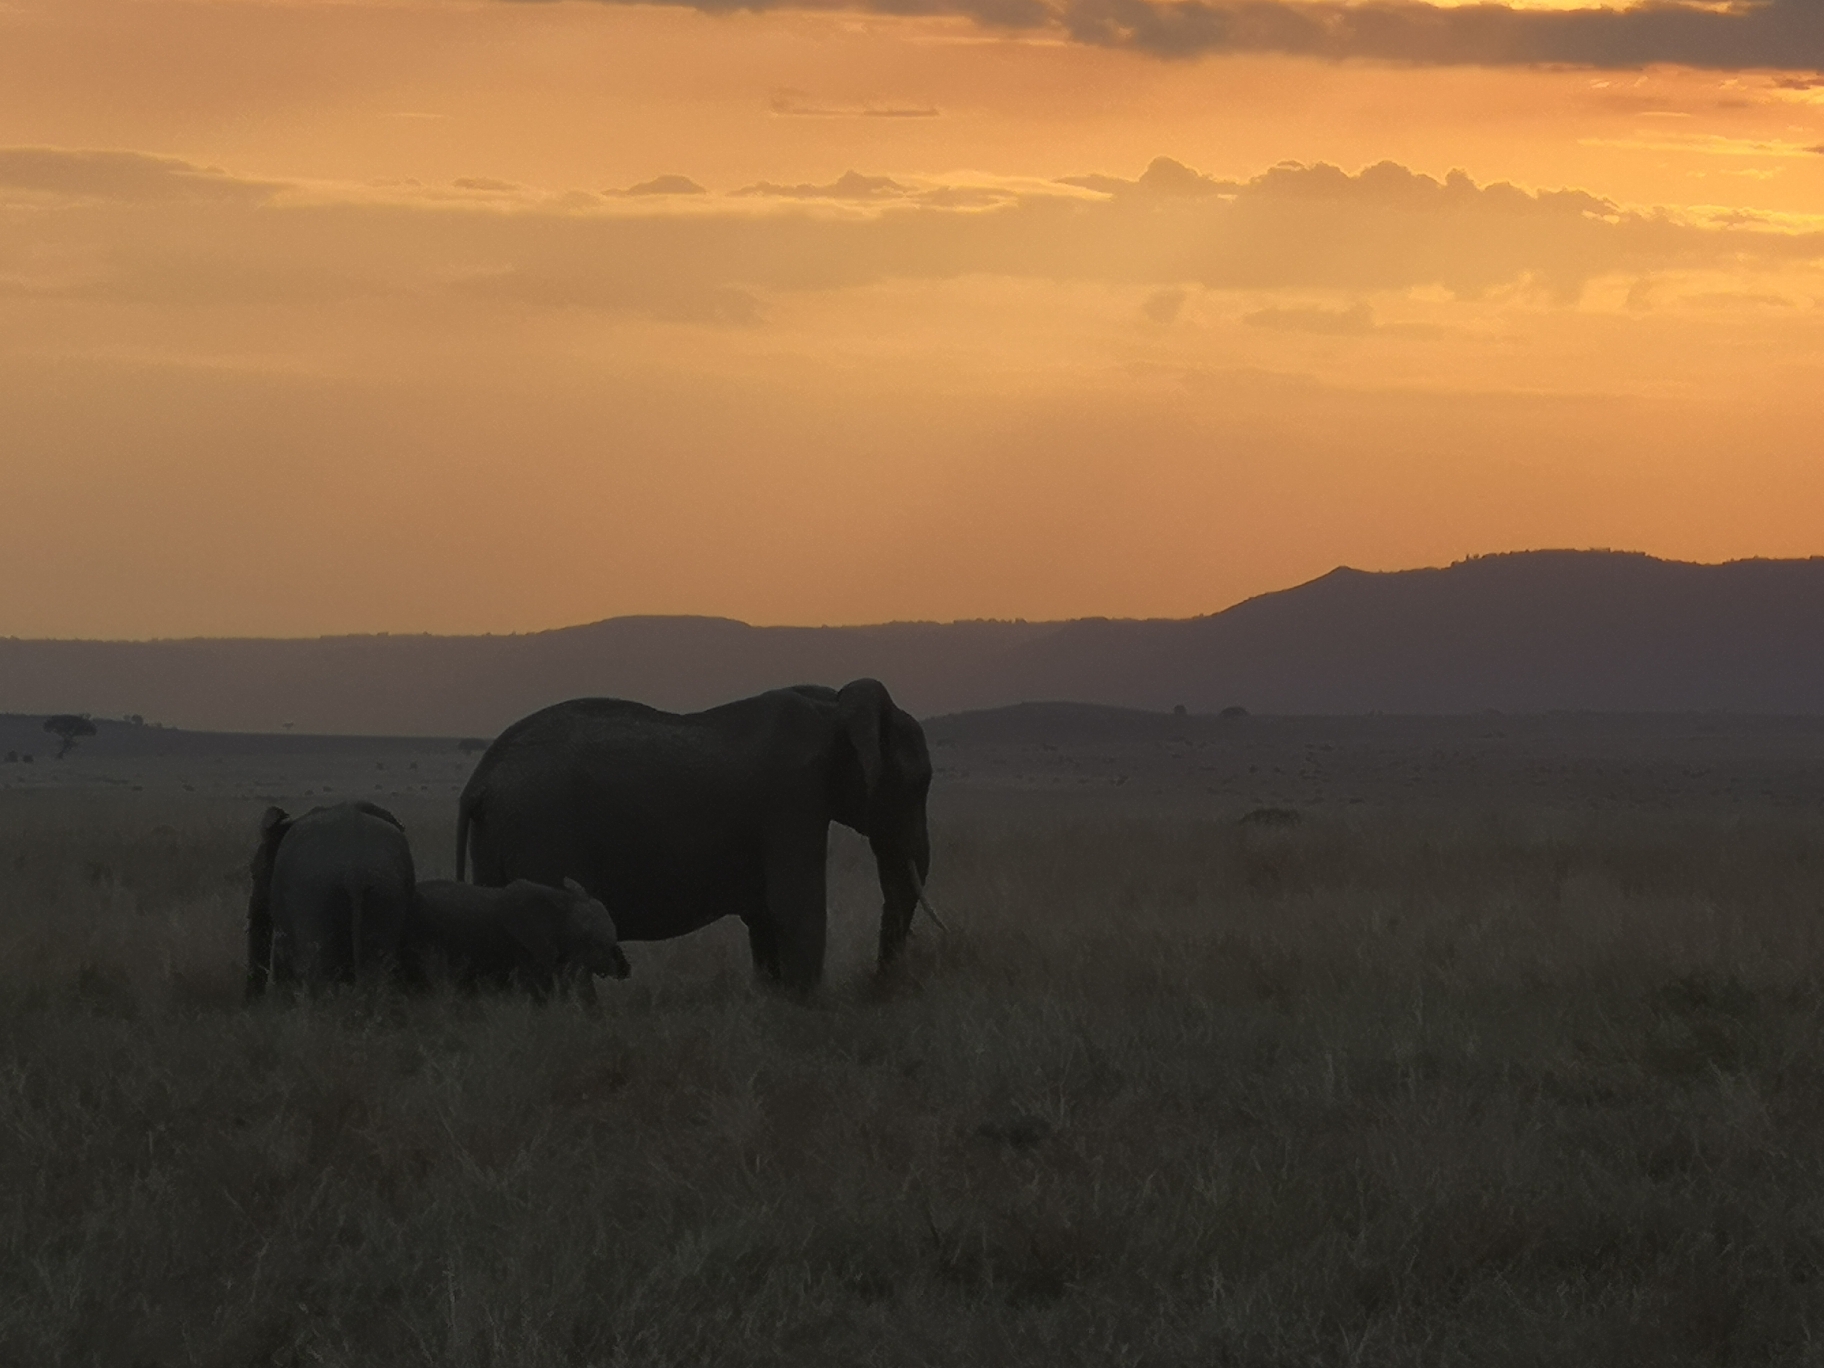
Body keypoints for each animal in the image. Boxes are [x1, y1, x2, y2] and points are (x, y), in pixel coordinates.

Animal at [246, 802, 417, 999]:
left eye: (254, 873)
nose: (252, 1003)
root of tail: (355, 874)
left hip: (316, 899)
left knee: (321, 976)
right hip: (386, 894)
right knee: (377, 973)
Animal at [456, 678, 941, 992]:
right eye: (918, 785)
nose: (878, 982)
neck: (834, 705)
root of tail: (479, 780)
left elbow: (764, 915)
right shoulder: (792, 799)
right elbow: (795, 908)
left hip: (500, 836)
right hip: (542, 833)